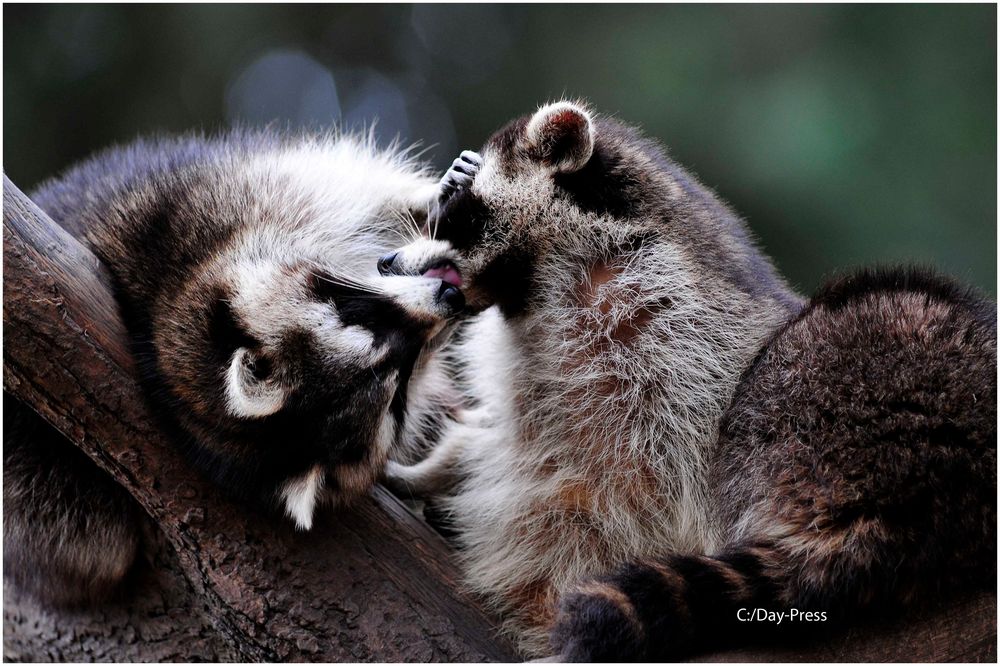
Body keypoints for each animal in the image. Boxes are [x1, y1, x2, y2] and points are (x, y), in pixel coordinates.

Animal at [4, 127, 464, 604]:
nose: (452, 299)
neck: (159, 316)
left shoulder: (202, 204)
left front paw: (423, 197)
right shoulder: (209, 212)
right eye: (396, 395)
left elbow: (367, 195)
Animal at [378, 101, 996, 656]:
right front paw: (427, 472)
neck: (534, 285)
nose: (385, 263)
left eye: (454, 212)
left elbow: (599, 499)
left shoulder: (657, 351)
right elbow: (503, 441)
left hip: (864, 385)